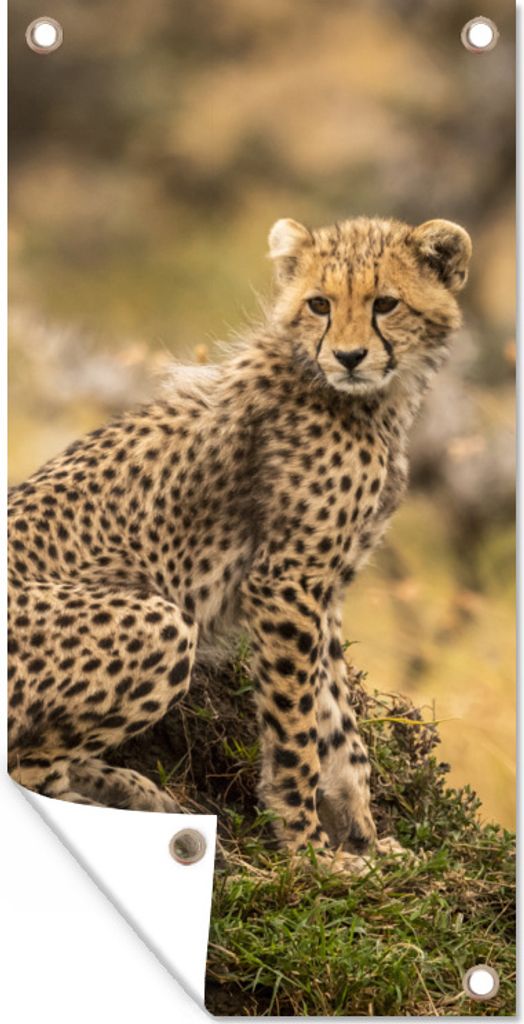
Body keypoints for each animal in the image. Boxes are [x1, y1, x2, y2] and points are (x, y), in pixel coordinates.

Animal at [8, 214, 472, 873]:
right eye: (320, 304)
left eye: (386, 303)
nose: (350, 356)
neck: (363, 400)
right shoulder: (285, 583)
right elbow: (297, 729)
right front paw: (310, 853)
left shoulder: (323, 590)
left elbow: (339, 725)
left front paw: (366, 839)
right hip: (161, 623)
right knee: (29, 768)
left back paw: (136, 792)